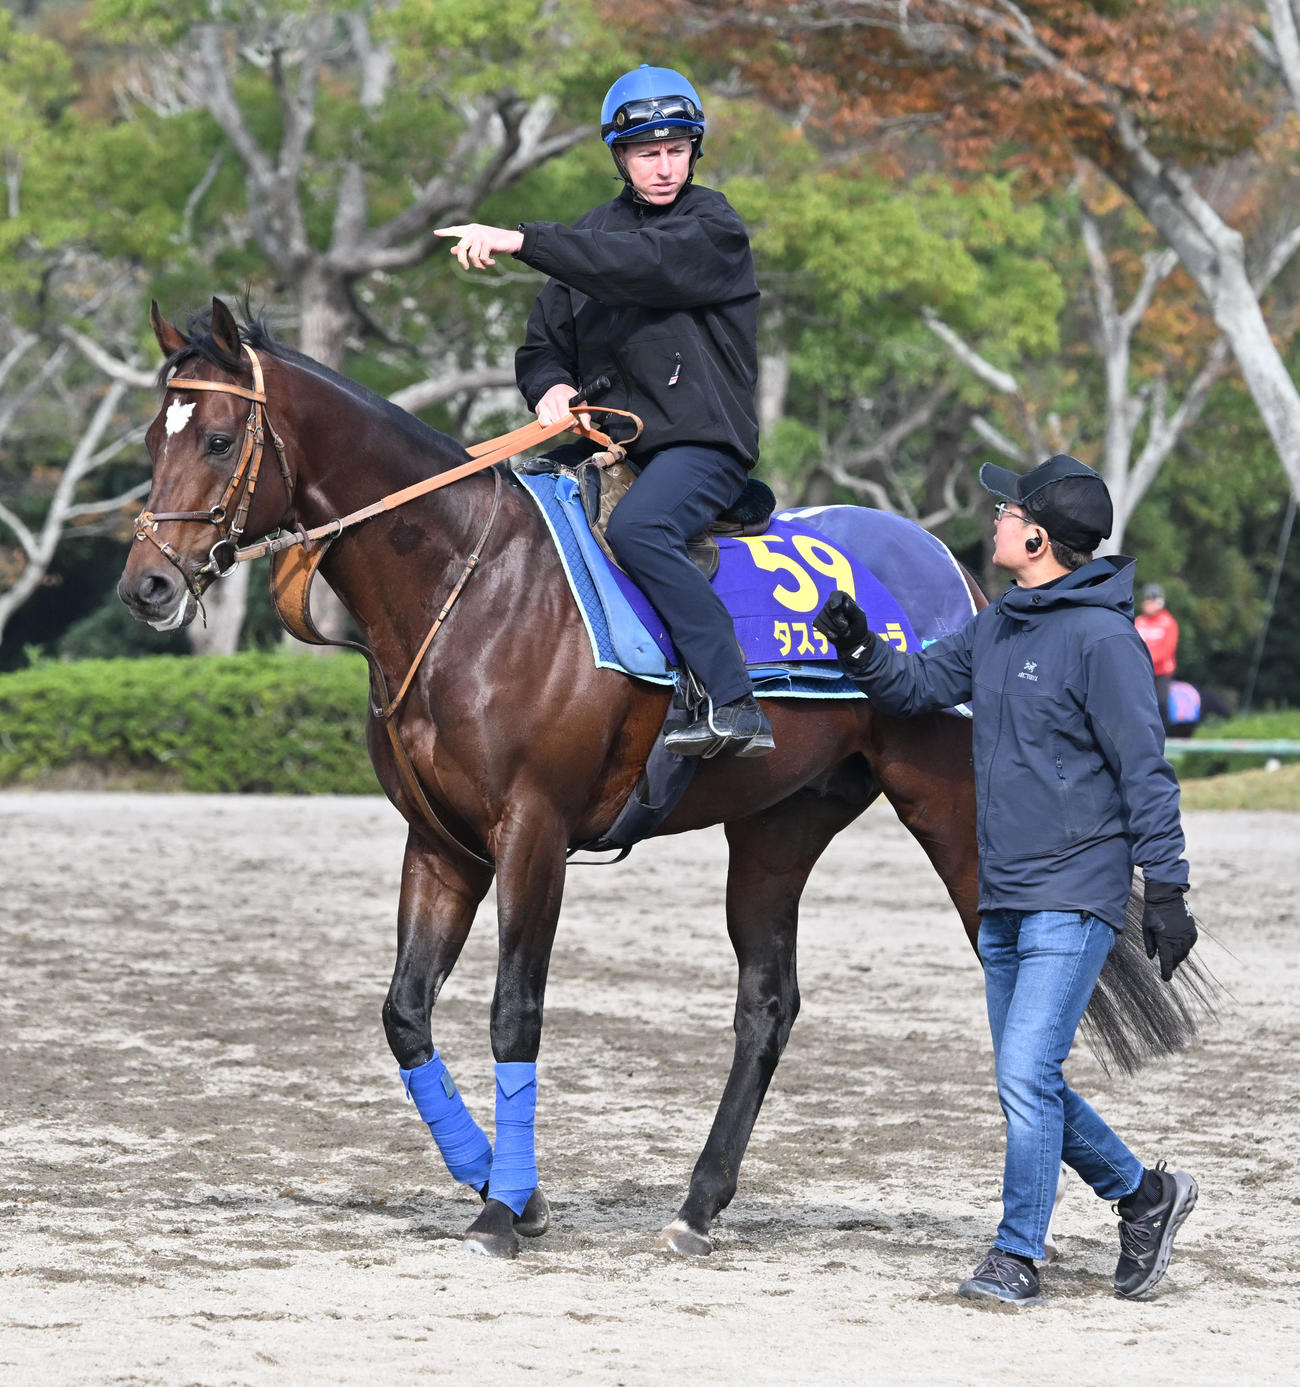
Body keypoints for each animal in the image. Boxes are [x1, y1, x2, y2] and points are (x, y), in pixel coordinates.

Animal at [118, 299, 1210, 1260]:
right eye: (148, 438)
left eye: (217, 436)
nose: (147, 584)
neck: (472, 582)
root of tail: (964, 577)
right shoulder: (442, 842)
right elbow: (405, 1012)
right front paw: (501, 1181)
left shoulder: (531, 833)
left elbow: (514, 1009)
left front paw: (503, 1207)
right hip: (777, 830)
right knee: (769, 1005)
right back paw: (701, 1201)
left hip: (954, 812)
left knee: (1016, 997)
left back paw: (1138, 1202)